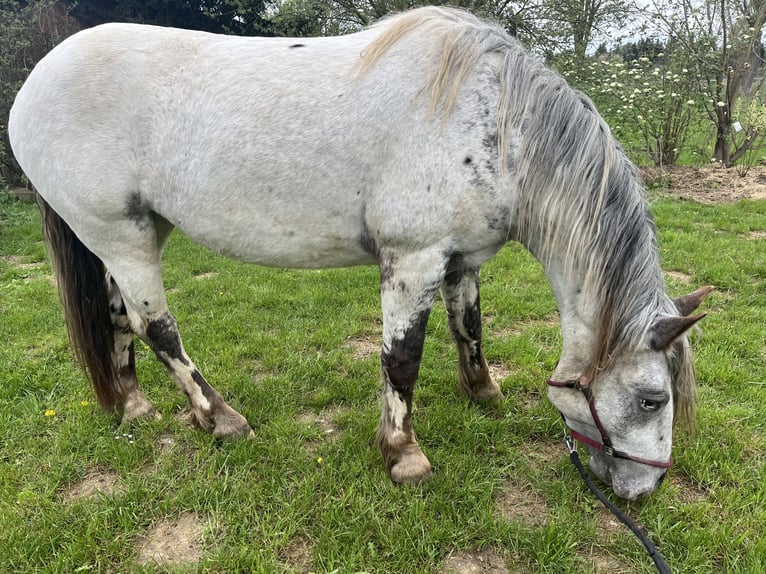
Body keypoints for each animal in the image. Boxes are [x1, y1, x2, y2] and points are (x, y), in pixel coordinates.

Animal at [9, 6, 712, 504]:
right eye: (653, 399)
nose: (647, 489)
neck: (495, 123)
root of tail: (35, 84)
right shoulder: (413, 261)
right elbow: (402, 361)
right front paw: (404, 455)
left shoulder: (462, 261)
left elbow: (469, 328)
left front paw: (483, 392)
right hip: (123, 239)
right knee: (157, 328)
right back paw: (222, 418)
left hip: (121, 238)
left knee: (117, 320)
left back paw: (132, 405)